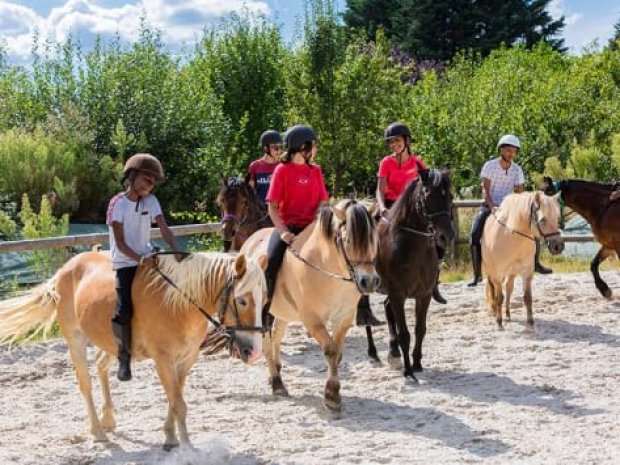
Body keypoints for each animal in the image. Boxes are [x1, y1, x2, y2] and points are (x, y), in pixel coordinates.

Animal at [0, 252, 266, 448]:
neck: (179, 303)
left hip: (109, 341)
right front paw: (187, 446)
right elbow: (178, 404)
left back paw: (108, 419)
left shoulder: (187, 359)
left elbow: (175, 399)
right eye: (242, 300)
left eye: (263, 299)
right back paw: (98, 432)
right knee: (85, 383)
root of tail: (64, 270)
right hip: (75, 338)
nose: (254, 352)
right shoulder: (163, 360)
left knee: (101, 366)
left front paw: (170, 437)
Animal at [241, 198, 378, 412]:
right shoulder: (312, 319)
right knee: (266, 342)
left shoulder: (344, 317)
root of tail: (250, 240)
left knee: (276, 336)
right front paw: (332, 396)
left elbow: (338, 352)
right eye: (347, 240)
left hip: (283, 312)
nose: (369, 282)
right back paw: (277, 383)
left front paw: (333, 393)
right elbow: (330, 350)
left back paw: (277, 371)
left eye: (373, 239)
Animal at [364, 168, 456, 374]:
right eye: (428, 195)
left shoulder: (424, 294)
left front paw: (417, 363)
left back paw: (393, 353)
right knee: (366, 315)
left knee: (387, 308)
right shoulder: (398, 294)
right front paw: (408, 372)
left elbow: (420, 329)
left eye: (450, 196)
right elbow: (404, 334)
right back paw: (373, 354)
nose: (446, 236)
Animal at [482, 190, 564, 328]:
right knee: (493, 289)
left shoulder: (527, 272)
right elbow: (499, 297)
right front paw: (499, 322)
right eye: (543, 219)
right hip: (491, 272)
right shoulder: (498, 274)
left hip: (512, 272)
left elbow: (527, 297)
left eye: (557, 218)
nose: (558, 247)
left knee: (509, 288)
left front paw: (530, 322)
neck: (512, 239)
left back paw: (508, 314)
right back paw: (495, 312)